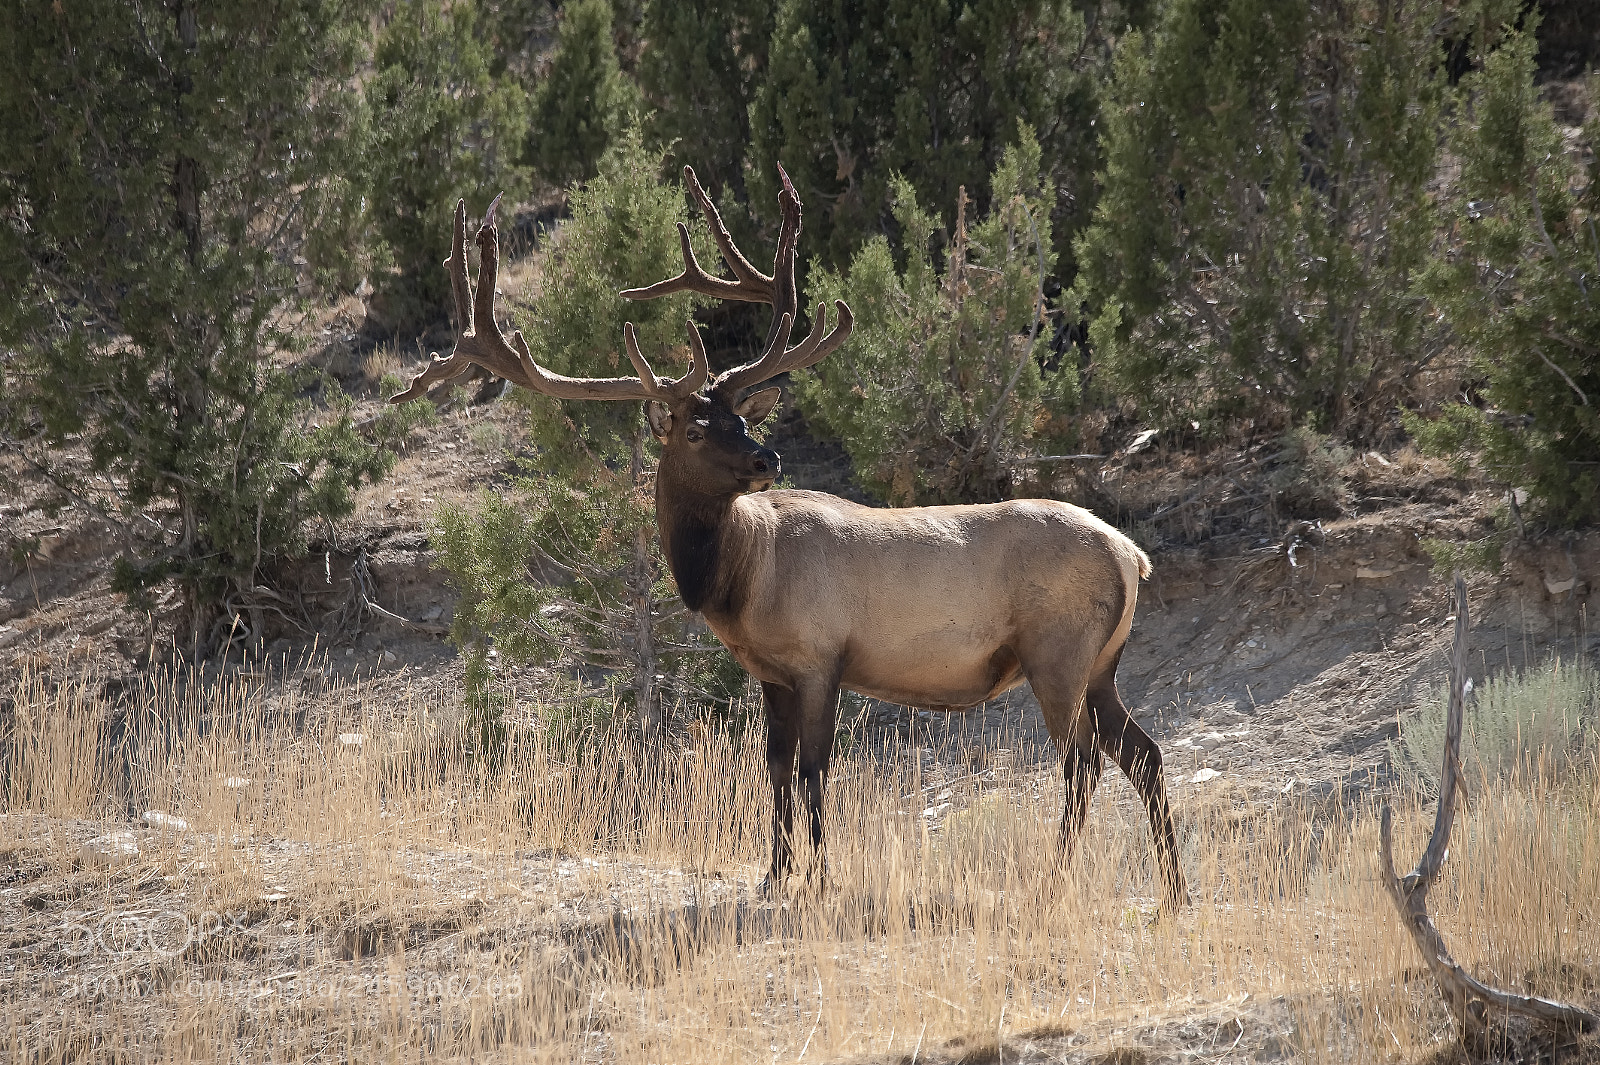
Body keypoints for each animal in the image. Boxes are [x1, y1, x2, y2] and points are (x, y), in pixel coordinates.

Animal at [390, 167, 1188, 909]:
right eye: (698, 428)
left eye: (741, 415)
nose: (768, 457)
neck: (741, 581)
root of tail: (1133, 556)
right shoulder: (769, 671)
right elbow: (772, 766)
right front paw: (775, 872)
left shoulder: (819, 653)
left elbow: (813, 766)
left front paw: (823, 875)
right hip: (1100, 663)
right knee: (1144, 755)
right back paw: (1176, 890)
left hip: (1058, 649)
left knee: (1082, 763)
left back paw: (1053, 883)